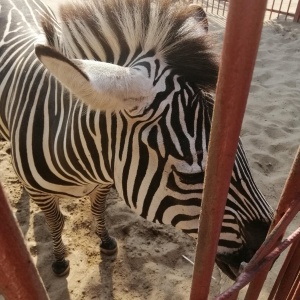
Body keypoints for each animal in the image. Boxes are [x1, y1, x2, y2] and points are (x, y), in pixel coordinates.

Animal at [0, 0, 274, 278]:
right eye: (189, 177)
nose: (265, 253)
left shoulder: (106, 180)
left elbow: (97, 208)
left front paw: (105, 240)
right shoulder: (41, 193)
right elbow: (55, 222)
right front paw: (59, 260)